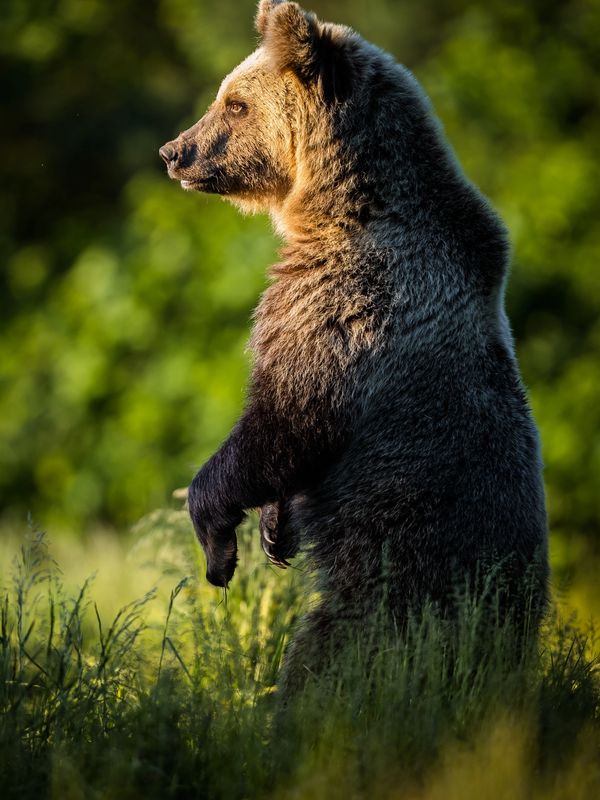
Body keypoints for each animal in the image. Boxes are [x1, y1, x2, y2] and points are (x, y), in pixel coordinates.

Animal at [159, 0, 549, 688]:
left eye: (235, 104)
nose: (174, 152)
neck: (340, 207)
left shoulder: (347, 303)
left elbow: (285, 420)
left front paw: (218, 540)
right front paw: (273, 530)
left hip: (396, 583)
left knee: (329, 656)